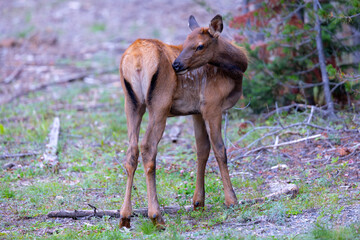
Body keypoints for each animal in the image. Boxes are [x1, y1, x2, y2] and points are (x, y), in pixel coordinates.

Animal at [118, 14, 248, 228]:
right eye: (185, 43)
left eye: (199, 45)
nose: (176, 65)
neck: (237, 70)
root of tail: (135, 59)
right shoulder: (212, 105)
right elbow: (220, 149)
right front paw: (232, 199)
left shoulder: (196, 111)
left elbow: (202, 150)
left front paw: (198, 202)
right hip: (159, 103)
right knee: (148, 147)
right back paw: (156, 215)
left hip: (131, 103)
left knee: (131, 151)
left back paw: (125, 216)